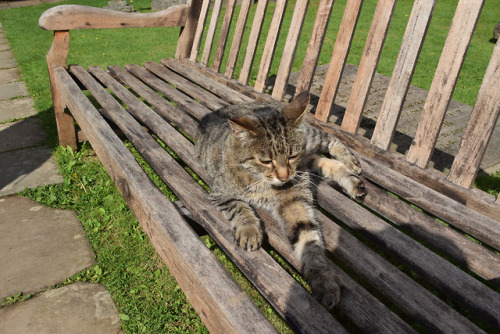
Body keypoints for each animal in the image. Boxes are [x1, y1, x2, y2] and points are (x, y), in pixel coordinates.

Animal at [194, 91, 364, 308]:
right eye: (266, 161)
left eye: (292, 156)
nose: (284, 176)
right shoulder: (220, 193)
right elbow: (240, 207)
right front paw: (250, 231)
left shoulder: (294, 199)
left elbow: (309, 239)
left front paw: (322, 276)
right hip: (308, 158)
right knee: (325, 161)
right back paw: (353, 182)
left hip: (310, 140)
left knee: (331, 139)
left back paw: (352, 164)